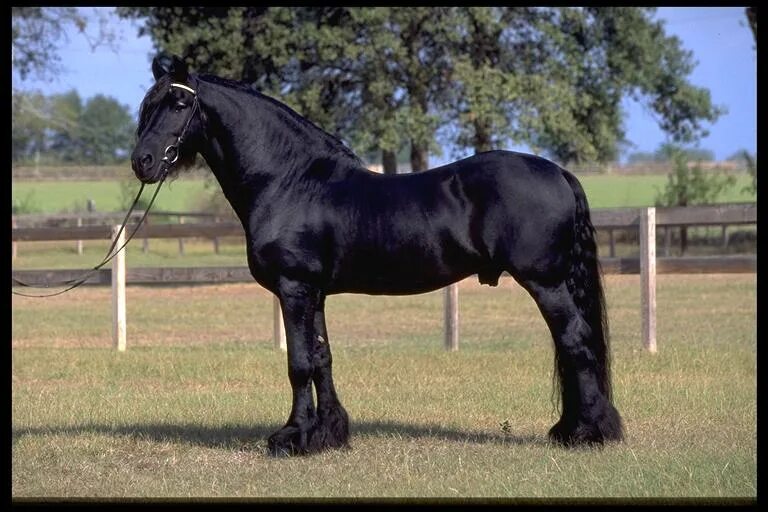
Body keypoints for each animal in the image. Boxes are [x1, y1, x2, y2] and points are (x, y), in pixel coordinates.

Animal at [131, 55, 623, 456]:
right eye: (147, 106)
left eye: (179, 104)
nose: (143, 162)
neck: (289, 180)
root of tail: (558, 172)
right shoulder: (315, 293)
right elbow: (322, 359)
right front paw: (328, 434)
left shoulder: (294, 289)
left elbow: (298, 364)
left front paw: (291, 438)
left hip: (546, 282)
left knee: (576, 343)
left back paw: (587, 433)